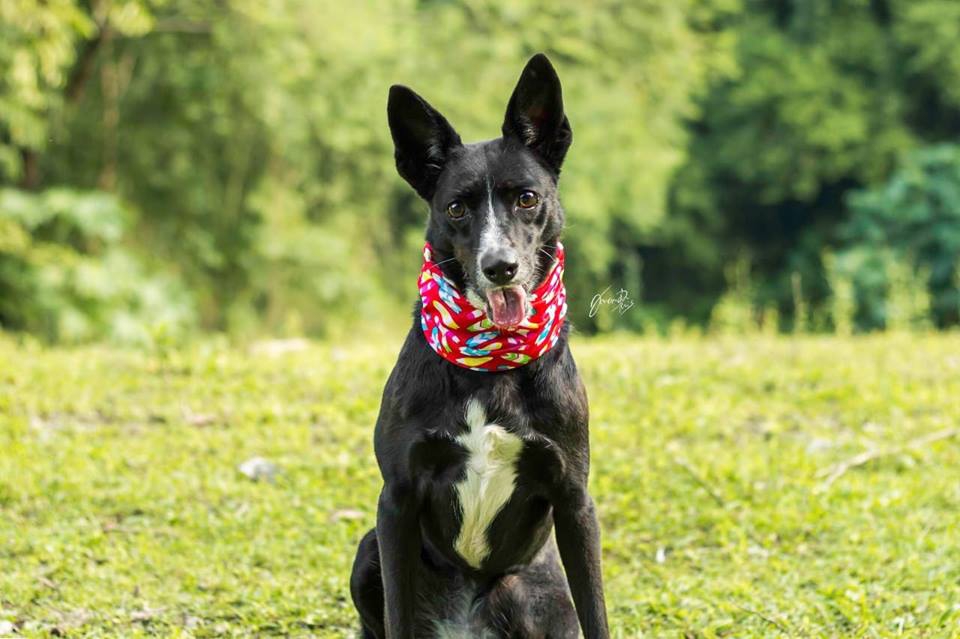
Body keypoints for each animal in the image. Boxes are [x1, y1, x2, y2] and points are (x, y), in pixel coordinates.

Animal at [350, 53, 609, 638]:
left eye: (527, 198)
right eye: (456, 209)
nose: (500, 267)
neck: (490, 366)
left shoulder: (575, 500)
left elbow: (598, 612)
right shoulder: (396, 501)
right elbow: (397, 615)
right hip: (366, 552)